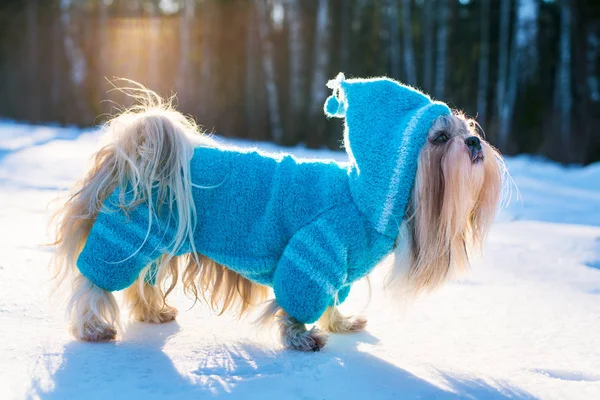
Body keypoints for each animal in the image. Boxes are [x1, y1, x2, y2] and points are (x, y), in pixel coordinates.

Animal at [51, 74, 504, 350]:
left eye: (467, 128)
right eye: (440, 138)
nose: (475, 144)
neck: (361, 200)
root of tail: (133, 156)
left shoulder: (335, 269)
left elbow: (333, 300)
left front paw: (339, 323)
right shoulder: (315, 251)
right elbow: (299, 301)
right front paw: (300, 338)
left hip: (155, 242)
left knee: (140, 285)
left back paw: (152, 311)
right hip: (124, 236)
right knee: (93, 283)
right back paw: (92, 327)